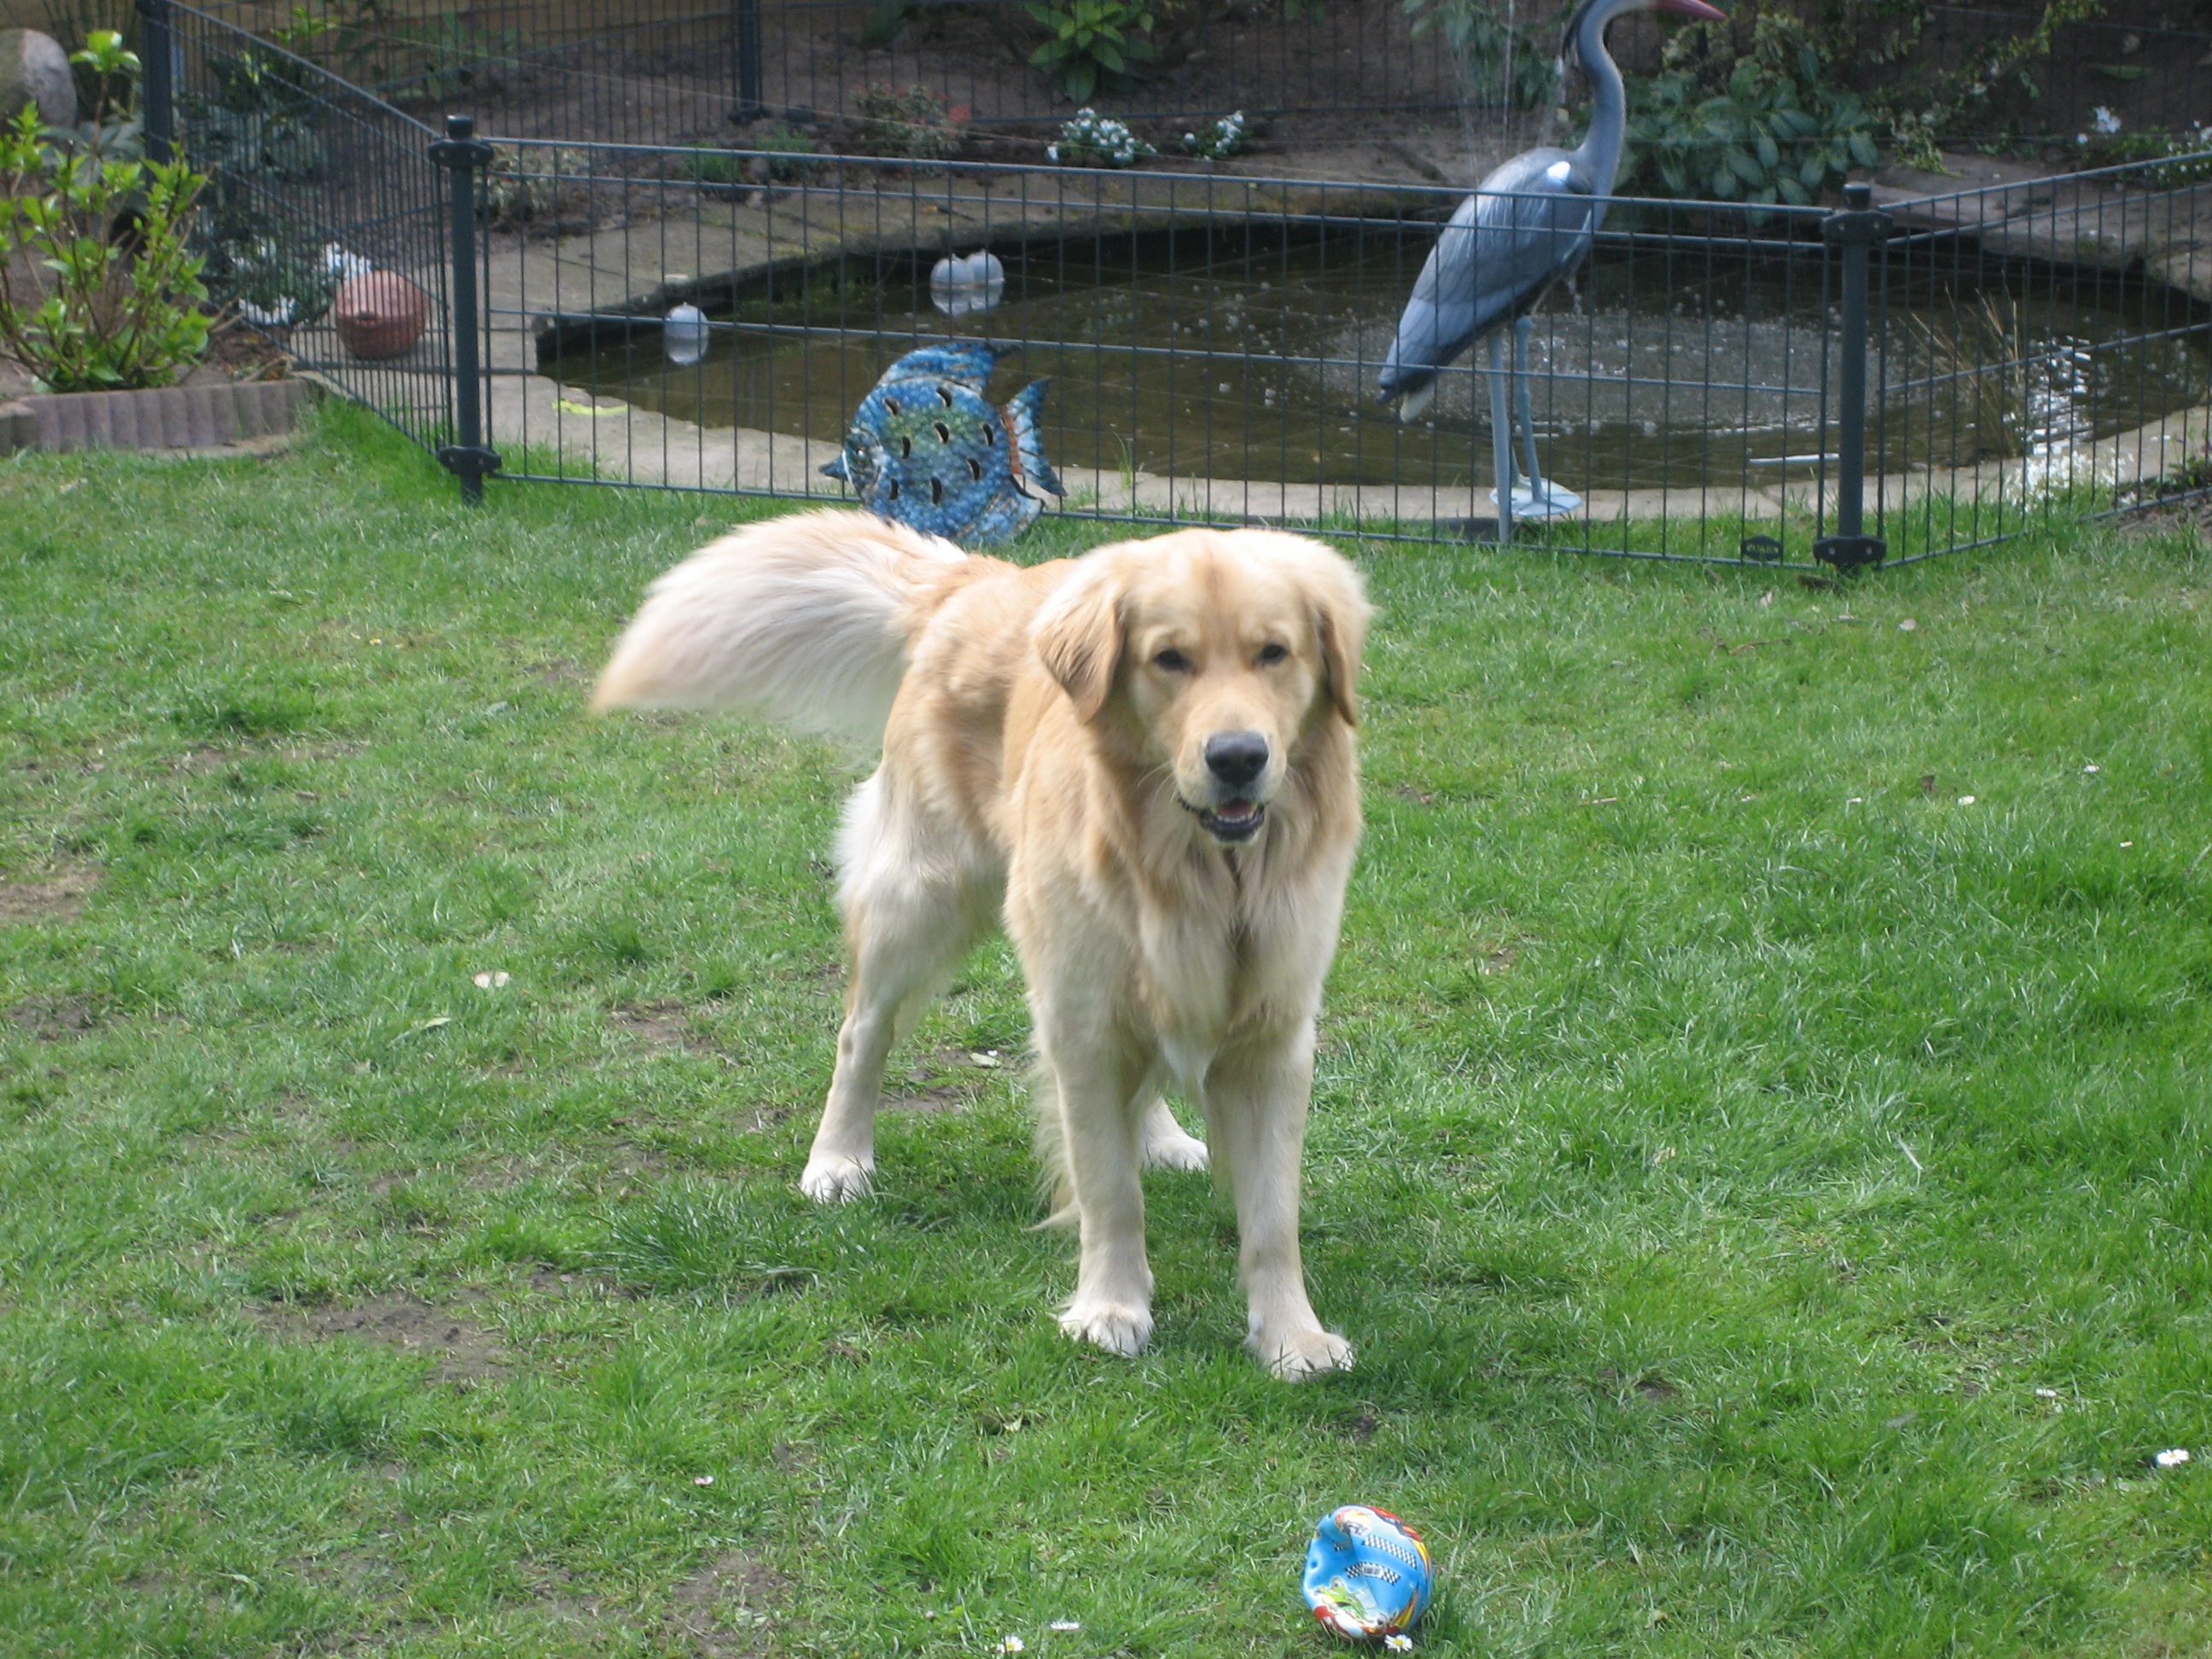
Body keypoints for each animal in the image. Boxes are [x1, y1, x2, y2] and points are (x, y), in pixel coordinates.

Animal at [592, 509, 1369, 1377]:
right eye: (1170, 659)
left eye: (1275, 652)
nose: (1238, 758)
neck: (1200, 875)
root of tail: (977, 577)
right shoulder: (1080, 1023)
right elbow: (1108, 1191)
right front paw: (1111, 1308)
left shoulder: (1274, 1035)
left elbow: (1272, 1217)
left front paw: (1292, 1336)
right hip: (920, 899)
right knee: (861, 1033)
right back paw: (838, 1161)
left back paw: (1163, 1139)